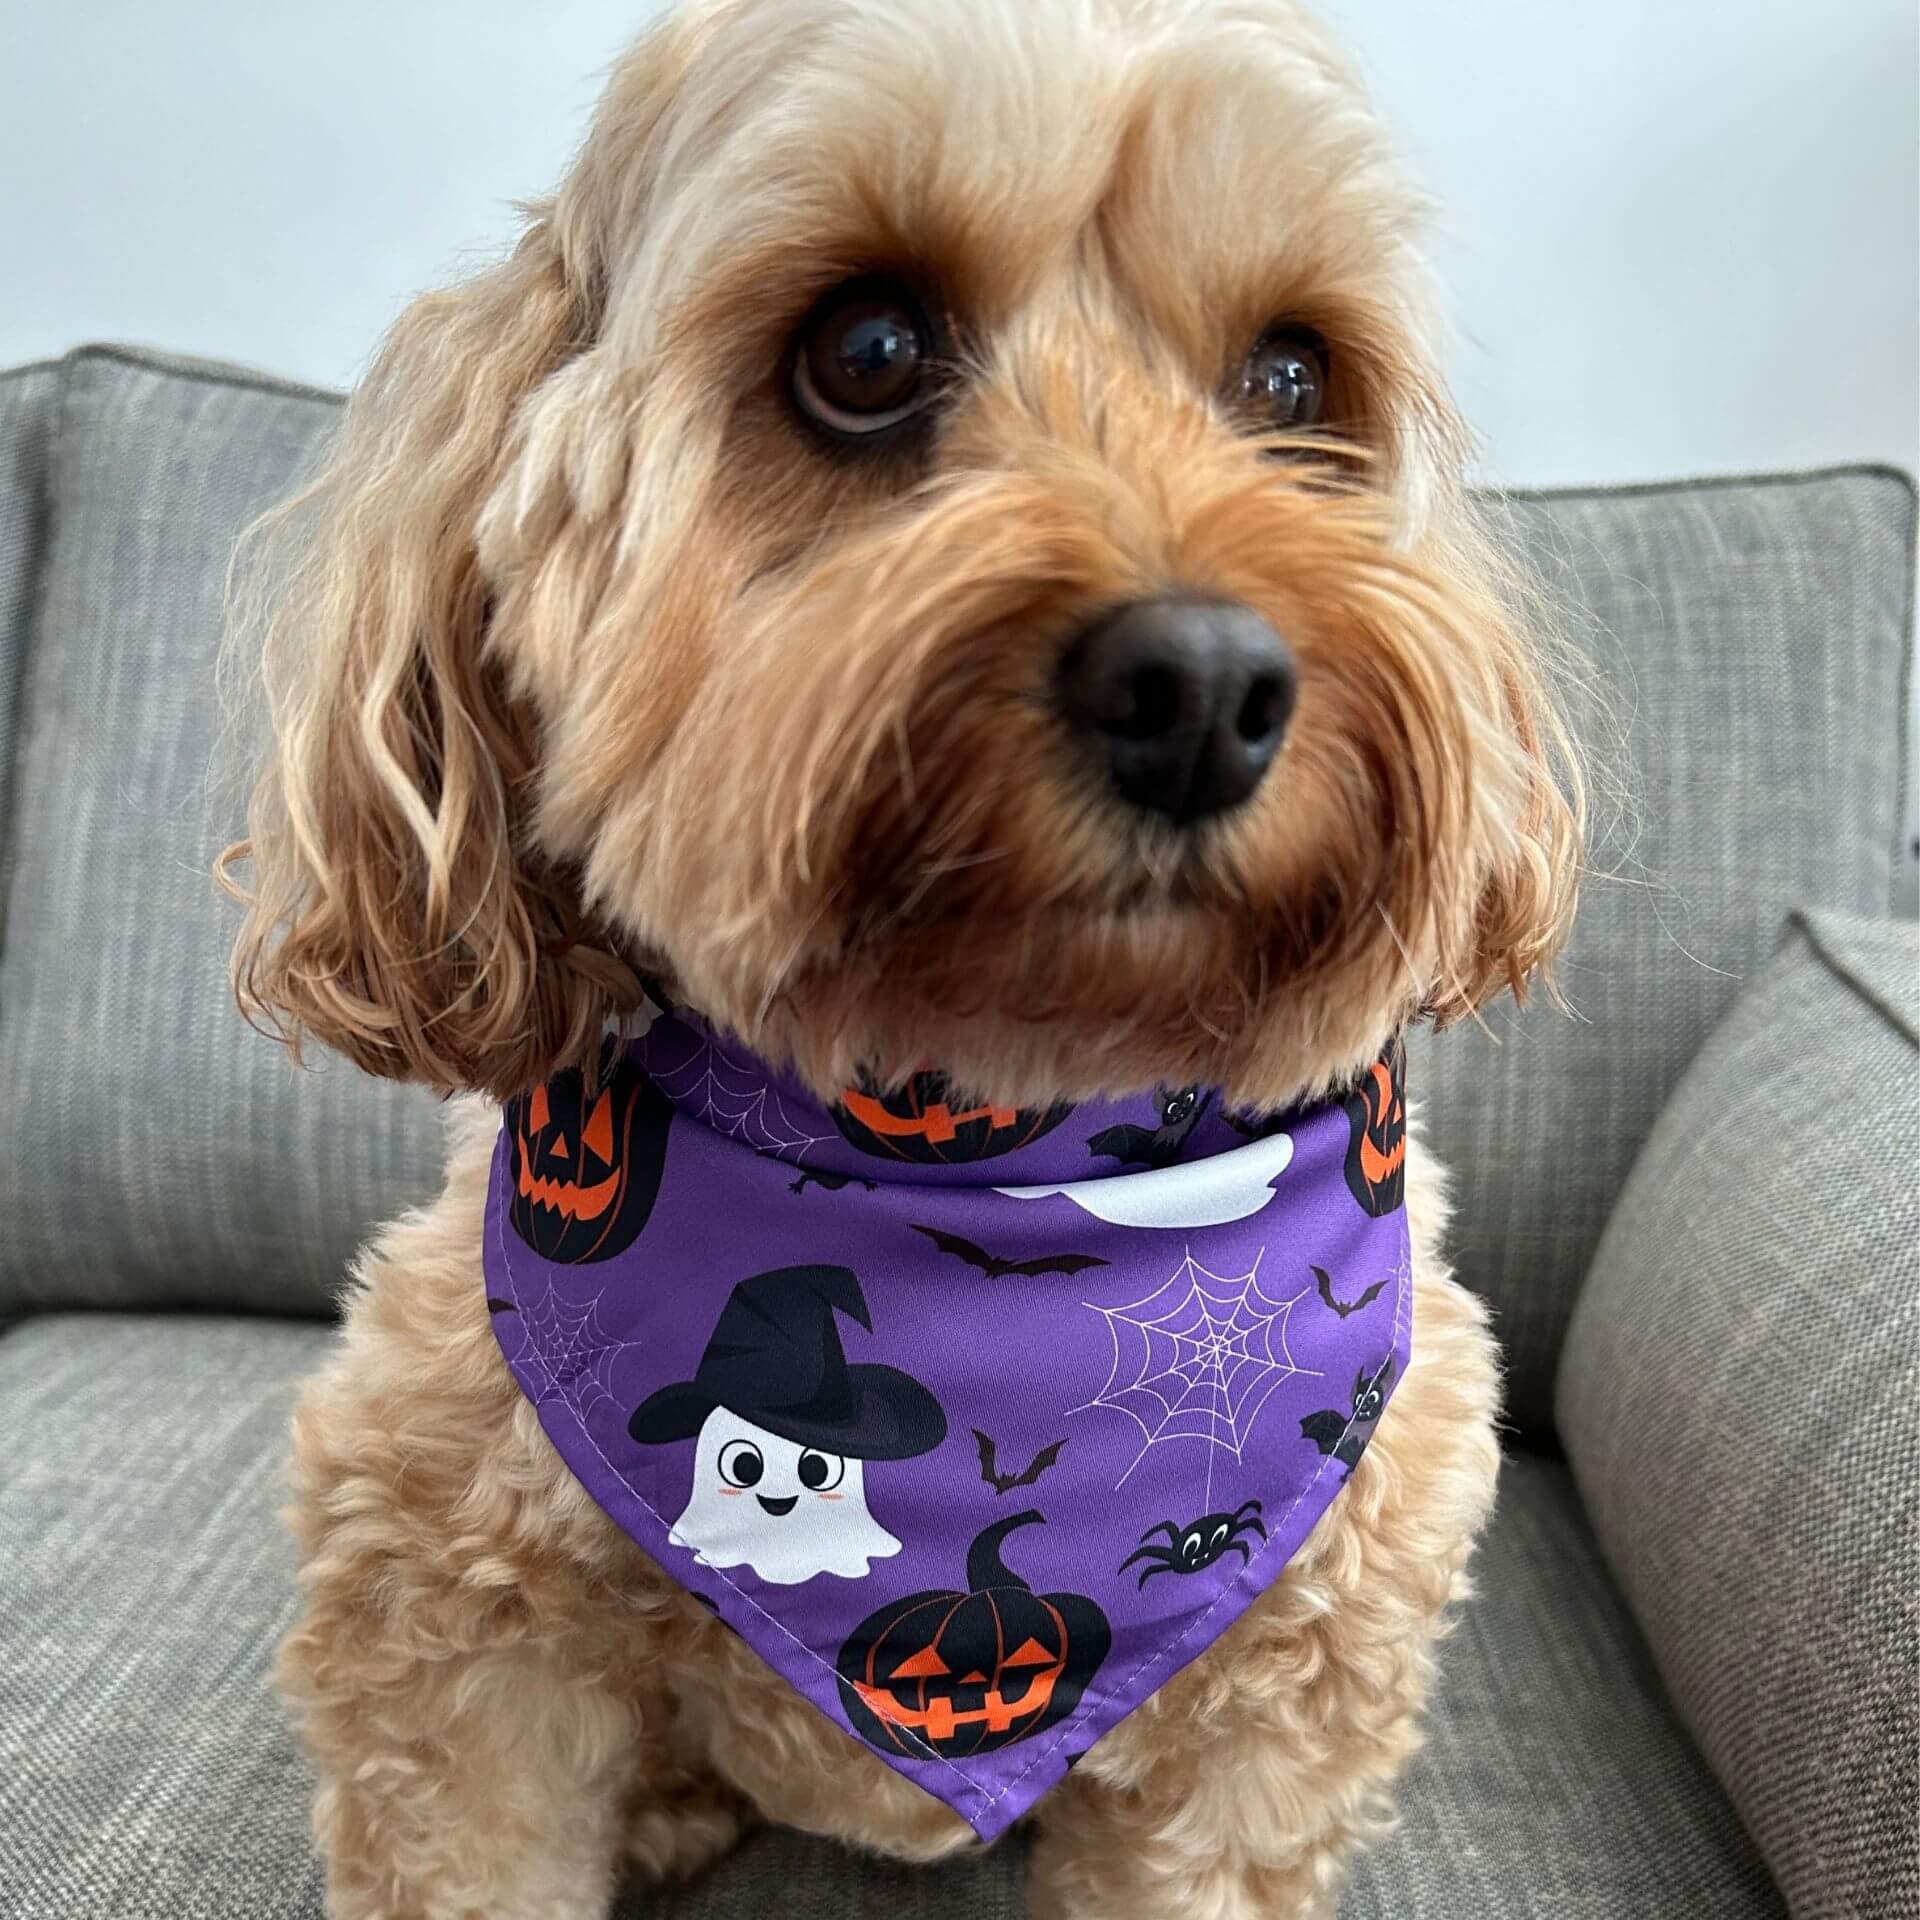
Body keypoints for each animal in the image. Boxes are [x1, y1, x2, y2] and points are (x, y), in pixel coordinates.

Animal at [224, 3, 1582, 1920]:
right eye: (865, 349)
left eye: (1291, 379)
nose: (1203, 690)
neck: (996, 1131)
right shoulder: (451, 1636)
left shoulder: (1269, 1723)